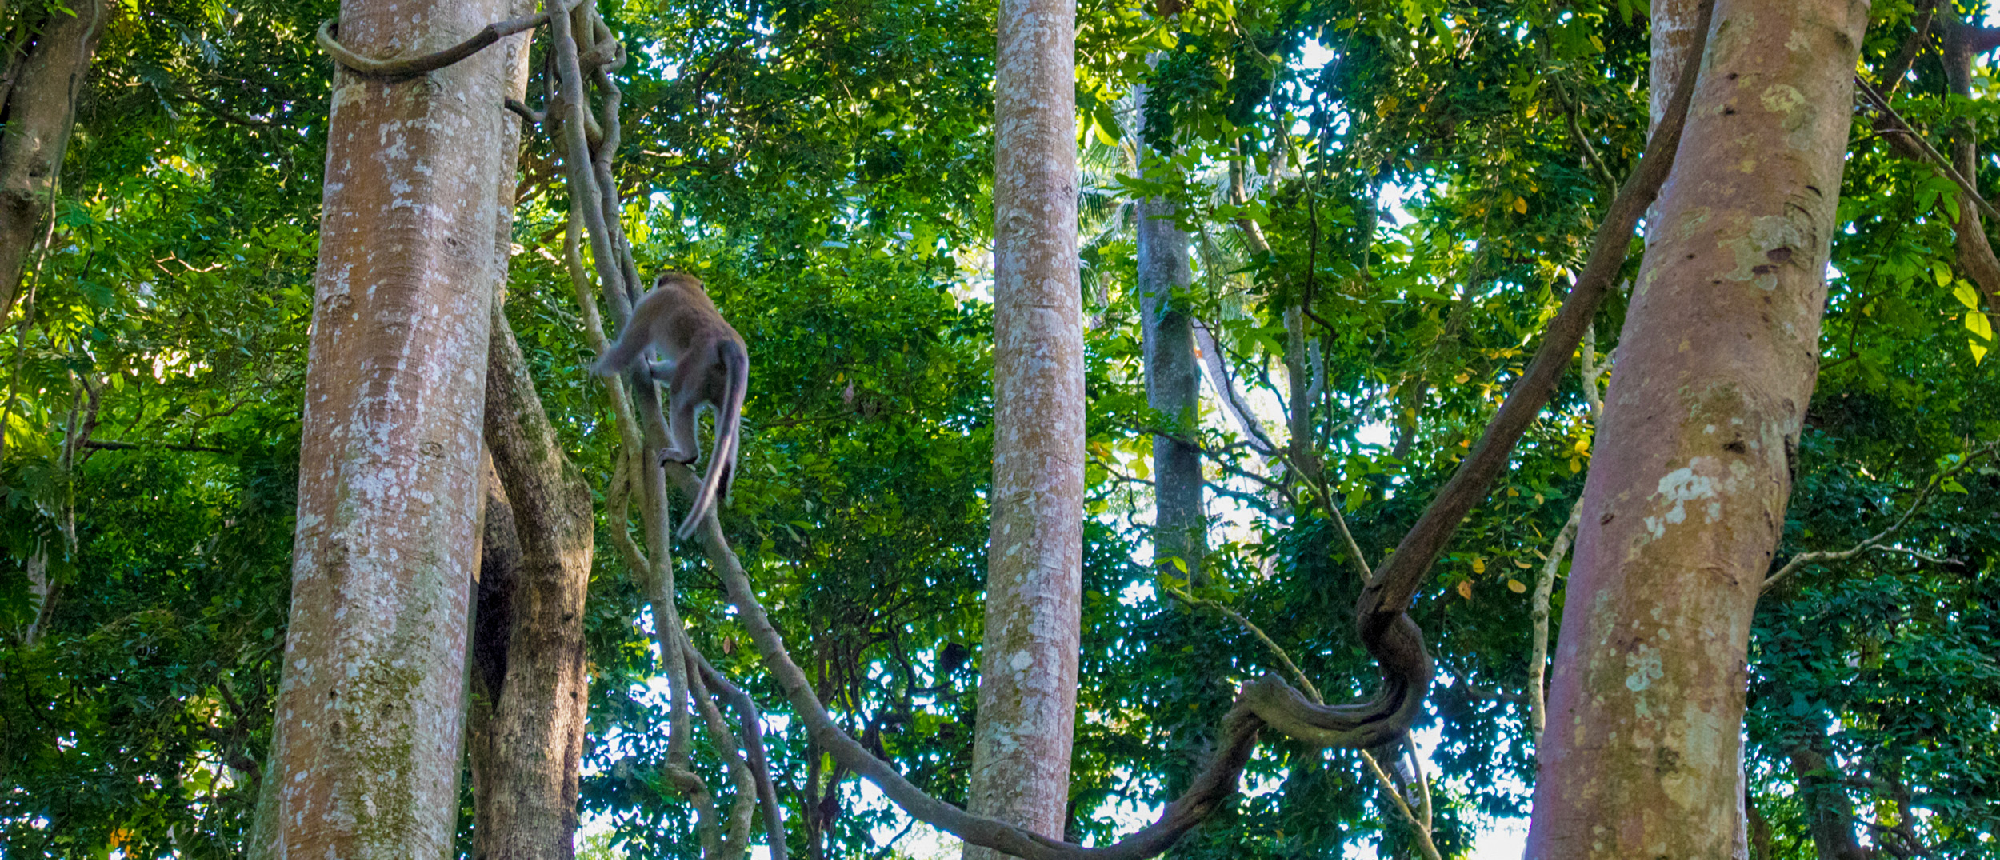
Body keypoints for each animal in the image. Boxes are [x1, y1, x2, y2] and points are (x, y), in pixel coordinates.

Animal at [592, 272, 749, 540]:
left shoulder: (650, 304)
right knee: (728, 423)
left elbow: (626, 349)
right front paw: (650, 369)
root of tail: (727, 342)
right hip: (725, 383)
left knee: (680, 399)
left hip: (697, 367)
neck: (684, 284)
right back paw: (722, 479)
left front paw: (594, 369)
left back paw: (687, 455)